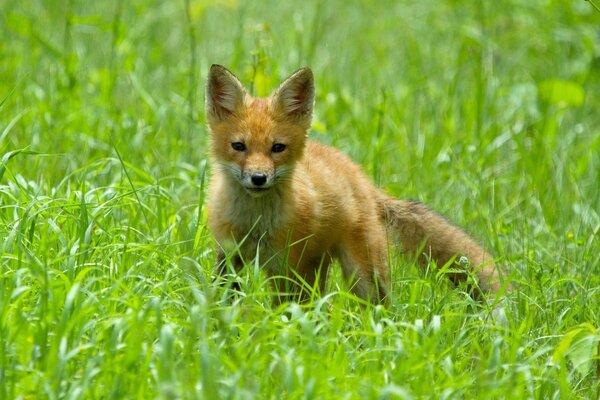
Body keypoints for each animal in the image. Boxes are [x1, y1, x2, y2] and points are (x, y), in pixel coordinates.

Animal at [206, 65, 506, 304]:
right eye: (239, 146)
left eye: (277, 148)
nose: (258, 178)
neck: (255, 223)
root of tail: (362, 178)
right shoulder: (229, 256)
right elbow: (223, 298)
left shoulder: (285, 266)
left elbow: (286, 311)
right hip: (319, 267)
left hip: (364, 274)